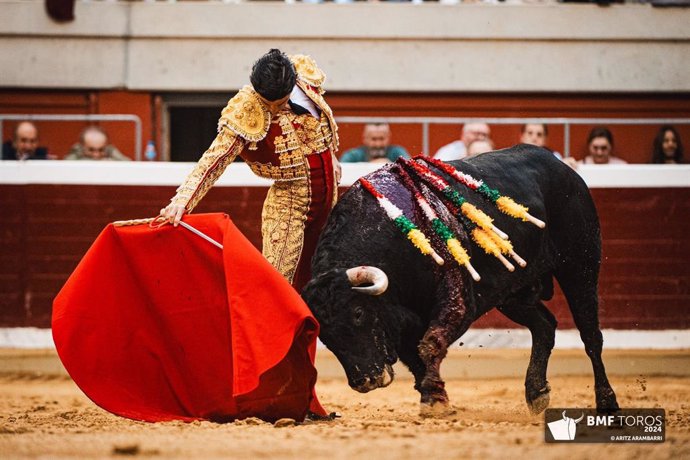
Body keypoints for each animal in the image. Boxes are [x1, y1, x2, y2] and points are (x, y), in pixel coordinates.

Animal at [300, 146, 620, 416]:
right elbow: (415, 357)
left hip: (580, 265)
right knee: (545, 326)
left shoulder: (458, 301)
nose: (365, 381)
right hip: (512, 292)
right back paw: (536, 393)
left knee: (590, 335)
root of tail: (562, 167)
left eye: (357, 313)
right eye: (323, 333)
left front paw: (433, 400)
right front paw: (435, 397)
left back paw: (607, 402)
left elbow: (430, 344)